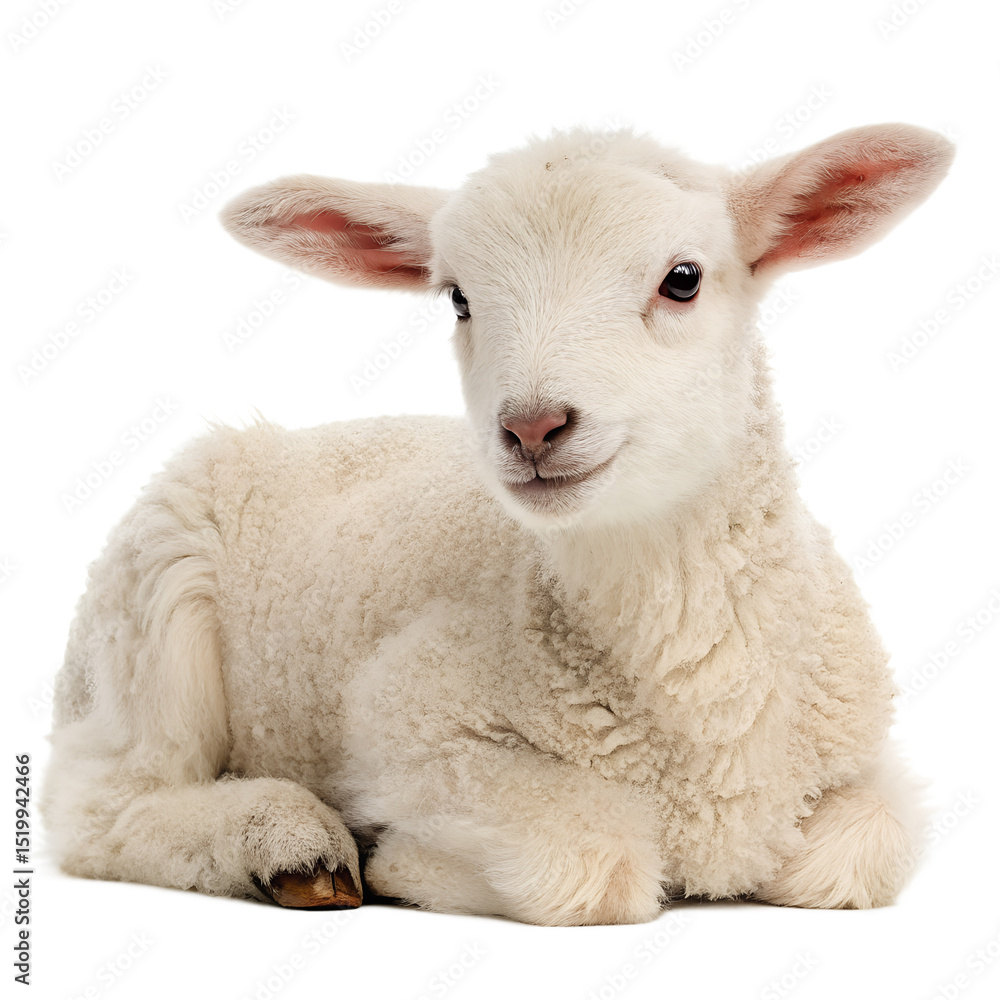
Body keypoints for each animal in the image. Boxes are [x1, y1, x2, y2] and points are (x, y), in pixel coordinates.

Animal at [41, 123, 954, 925]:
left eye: (684, 278)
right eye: (458, 298)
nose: (532, 427)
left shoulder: (860, 751)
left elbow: (859, 852)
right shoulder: (406, 718)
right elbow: (593, 857)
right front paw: (403, 863)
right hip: (153, 608)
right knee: (101, 806)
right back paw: (291, 844)